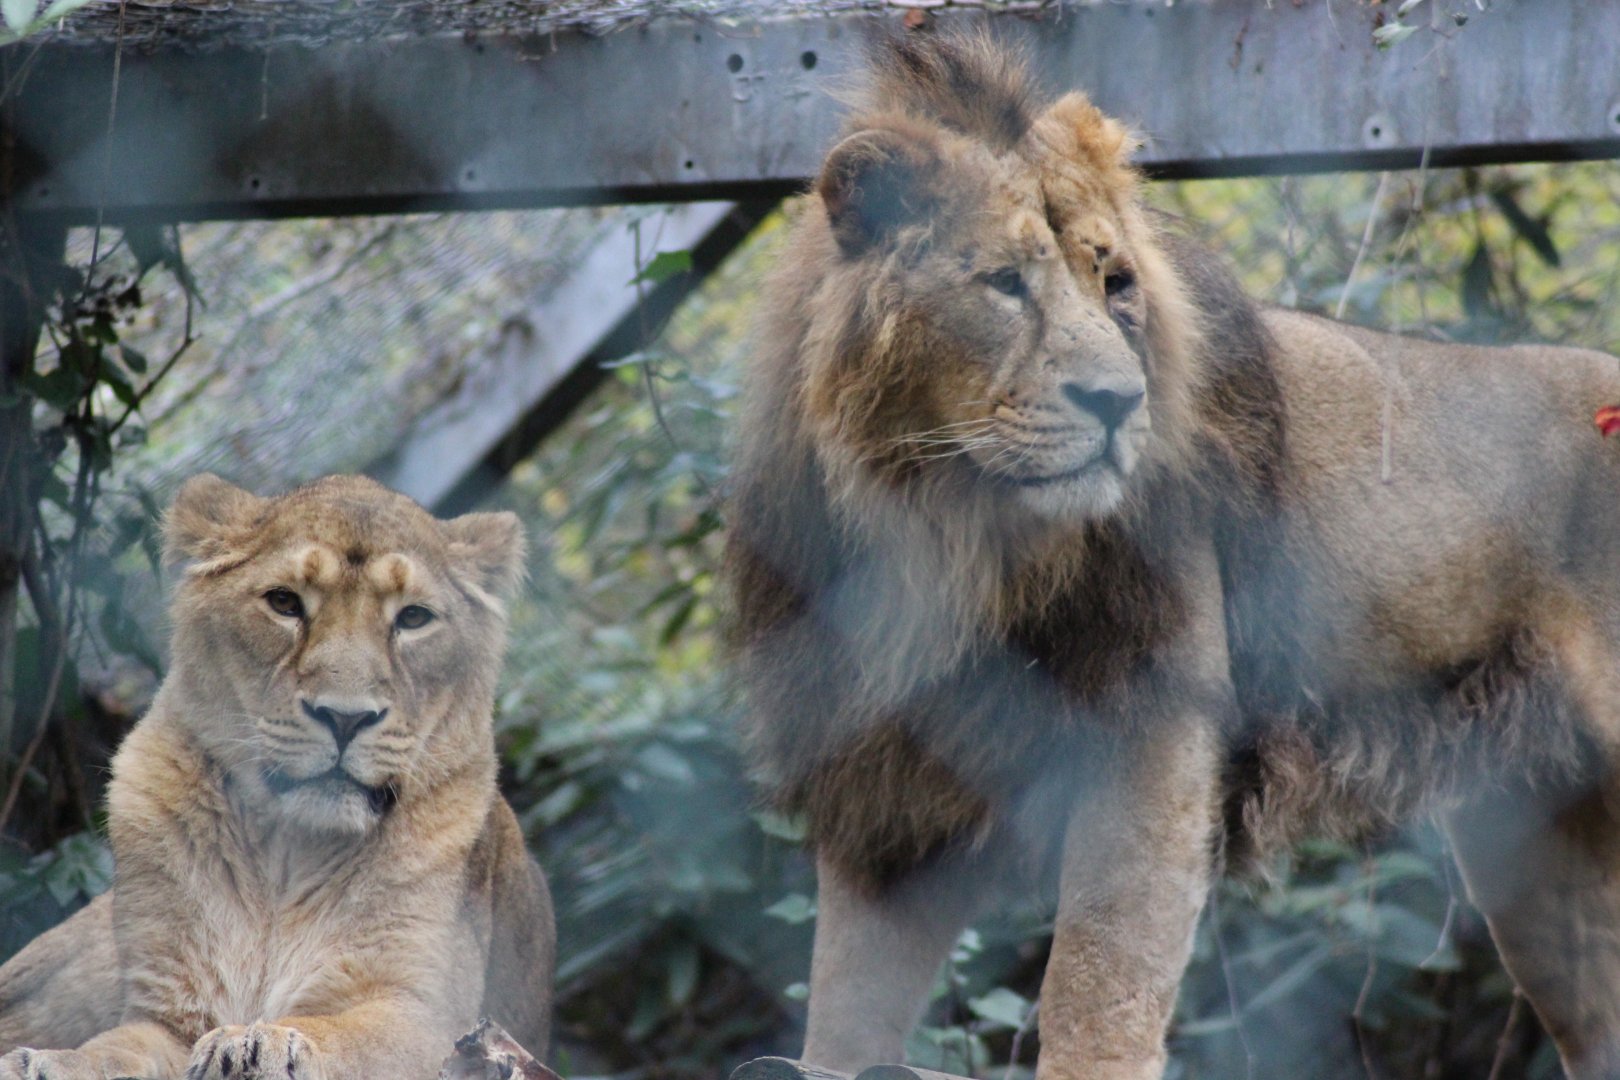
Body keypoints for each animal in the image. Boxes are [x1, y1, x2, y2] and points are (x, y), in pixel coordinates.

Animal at [0, 474, 554, 1080]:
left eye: (413, 618)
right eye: (284, 602)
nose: (345, 717)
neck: (286, 855)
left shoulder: (433, 1020)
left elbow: (346, 1035)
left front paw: (266, 1040)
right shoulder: (168, 1014)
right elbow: (112, 1049)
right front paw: (48, 1062)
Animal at [725, 33, 1620, 1080]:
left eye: (1116, 285)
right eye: (1006, 282)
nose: (1119, 402)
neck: (941, 531)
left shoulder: (1149, 729)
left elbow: (1097, 979)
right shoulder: (882, 787)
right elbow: (843, 1003)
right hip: (1543, 846)